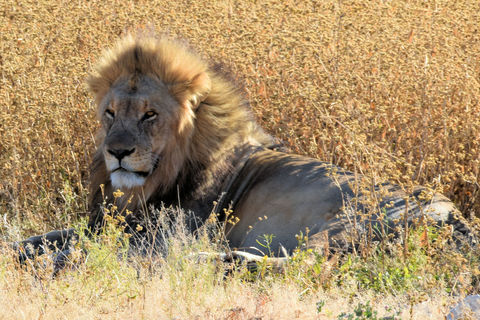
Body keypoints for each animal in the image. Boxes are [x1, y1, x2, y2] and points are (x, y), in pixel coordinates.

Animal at [16, 33, 464, 262]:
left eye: (149, 115)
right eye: (110, 113)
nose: (117, 152)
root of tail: (456, 216)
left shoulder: (154, 236)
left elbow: (78, 248)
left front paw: (53, 261)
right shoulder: (108, 222)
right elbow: (46, 236)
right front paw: (21, 250)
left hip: (342, 227)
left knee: (298, 264)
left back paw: (206, 259)